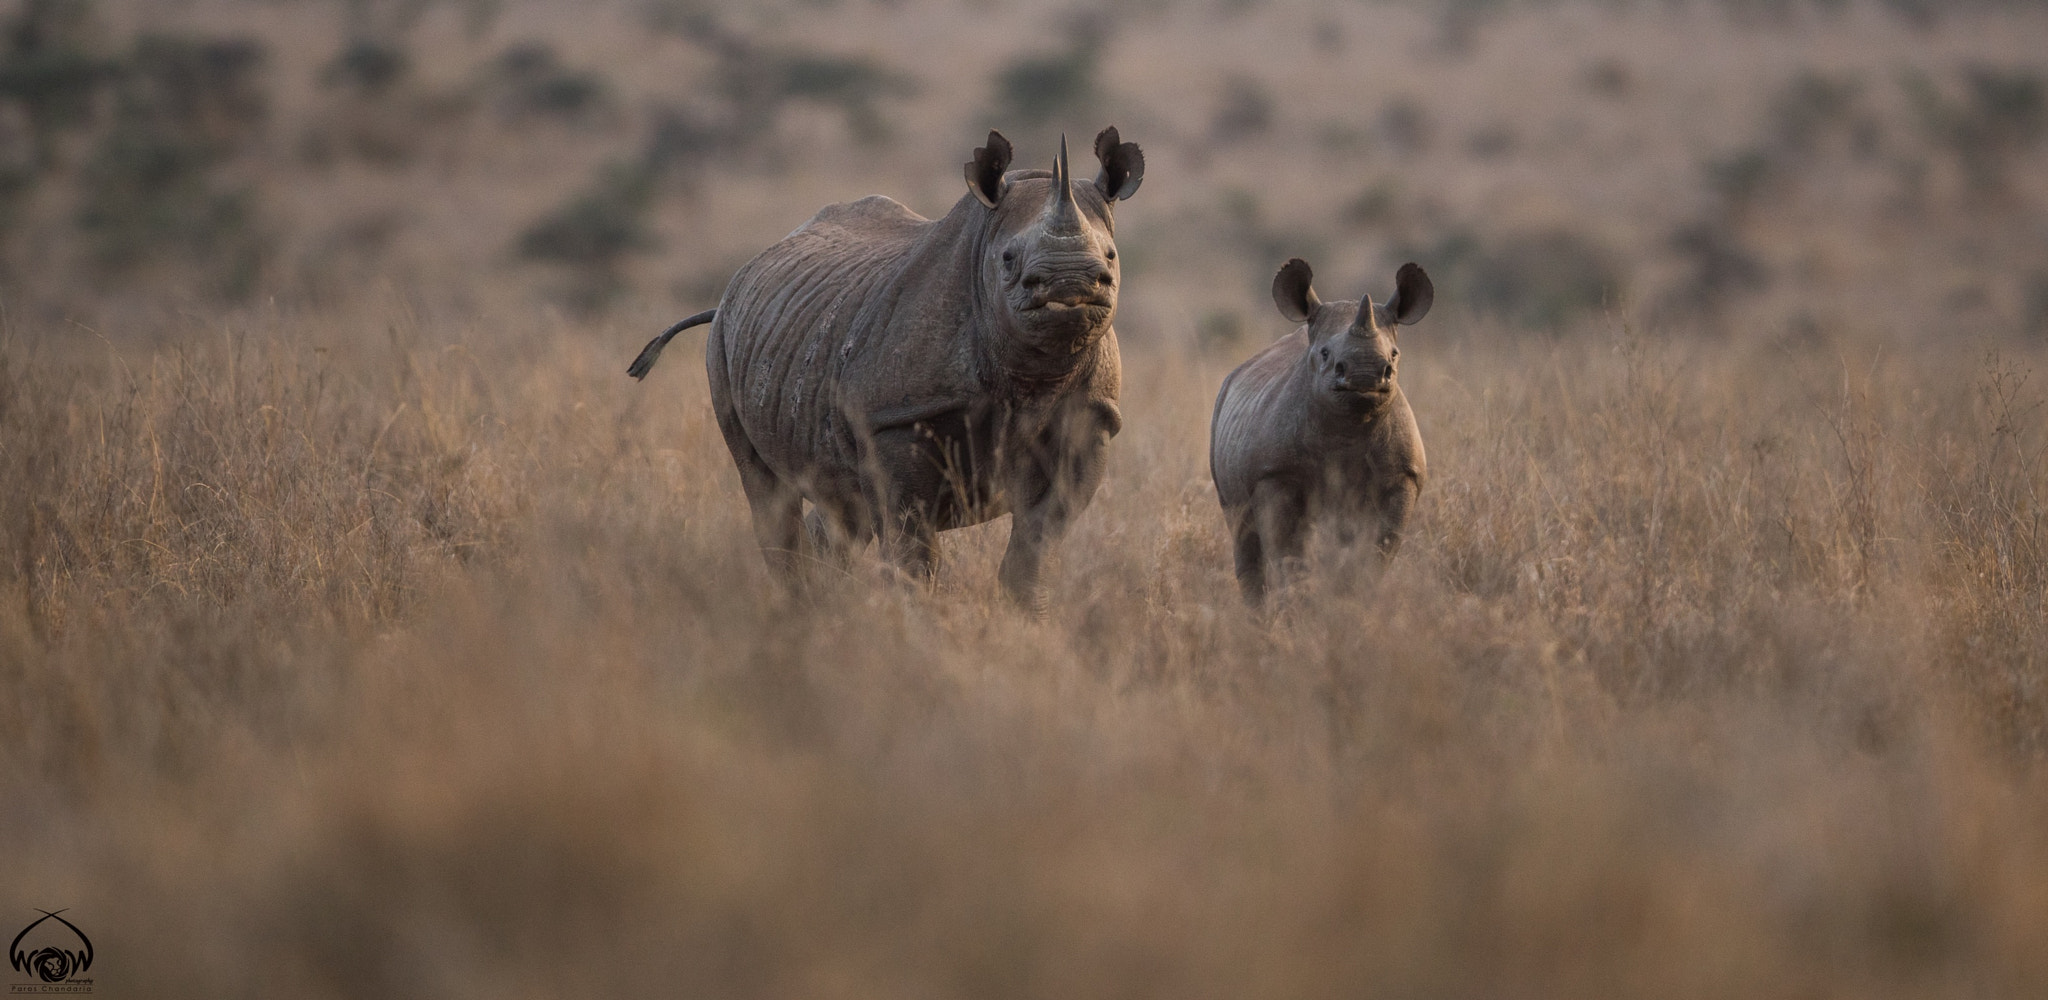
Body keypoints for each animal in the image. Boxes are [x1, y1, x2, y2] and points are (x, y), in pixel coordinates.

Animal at [629, 128, 1145, 612]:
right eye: (1007, 260)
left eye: (1112, 257)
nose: (1070, 282)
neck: (1034, 373)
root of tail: (735, 285)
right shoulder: (894, 420)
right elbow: (914, 550)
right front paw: (916, 626)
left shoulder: (1090, 418)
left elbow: (1038, 543)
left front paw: (1028, 624)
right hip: (722, 344)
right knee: (768, 490)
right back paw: (799, 608)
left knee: (842, 504)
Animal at [1209, 257, 1435, 605]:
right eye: (1325, 354)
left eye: (1394, 355)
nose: (1366, 374)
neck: (1350, 423)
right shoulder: (1275, 474)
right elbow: (1287, 549)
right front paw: (1298, 605)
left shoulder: (1401, 477)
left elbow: (1375, 552)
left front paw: (1350, 601)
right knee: (1242, 530)